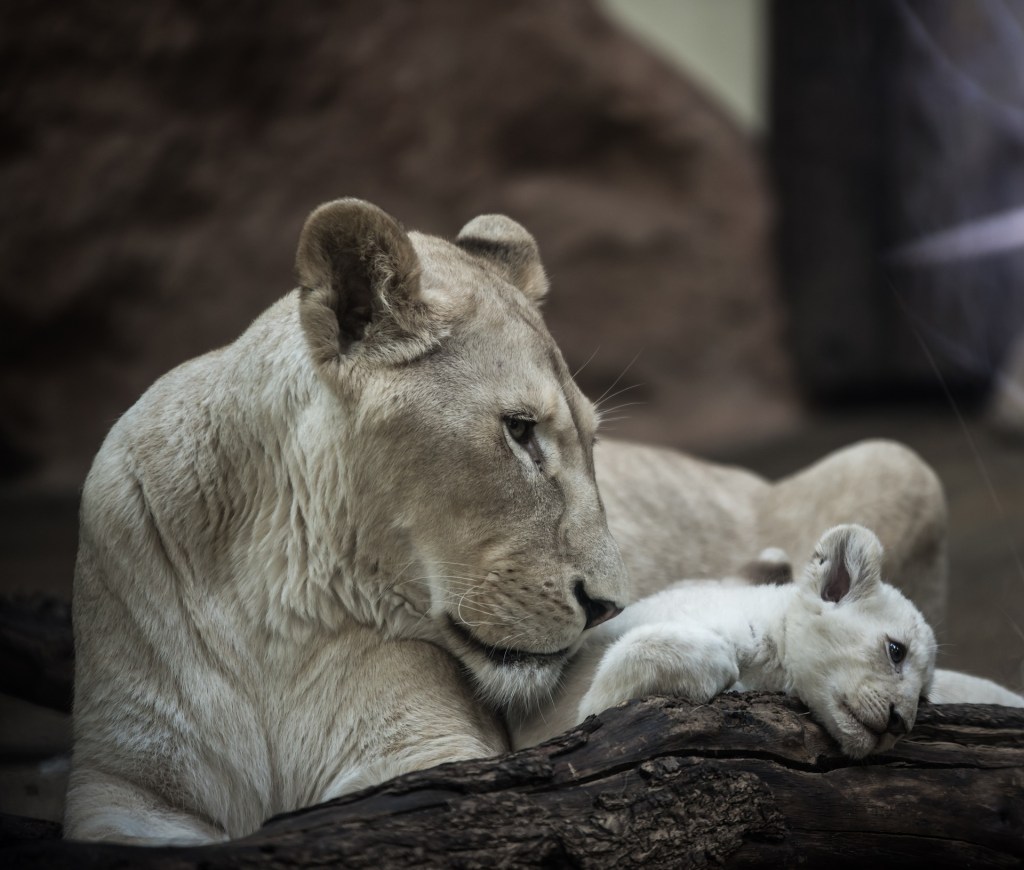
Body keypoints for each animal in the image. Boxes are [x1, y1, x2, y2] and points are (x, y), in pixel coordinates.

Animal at [65, 199, 951, 845]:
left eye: (593, 440)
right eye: (520, 432)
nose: (611, 606)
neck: (265, 590)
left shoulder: (423, 759)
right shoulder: (120, 787)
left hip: (902, 462)